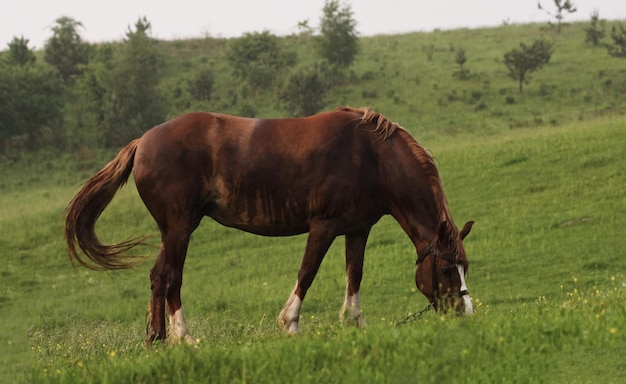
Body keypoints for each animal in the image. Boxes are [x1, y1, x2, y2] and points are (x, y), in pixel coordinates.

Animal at [64, 106, 472, 346]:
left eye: (465, 267)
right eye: (446, 270)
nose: (464, 315)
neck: (370, 156)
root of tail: (142, 142)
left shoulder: (357, 229)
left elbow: (354, 275)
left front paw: (354, 324)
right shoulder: (323, 227)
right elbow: (307, 272)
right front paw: (289, 323)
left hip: (172, 229)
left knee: (156, 276)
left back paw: (158, 337)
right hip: (180, 227)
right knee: (170, 278)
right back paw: (184, 338)